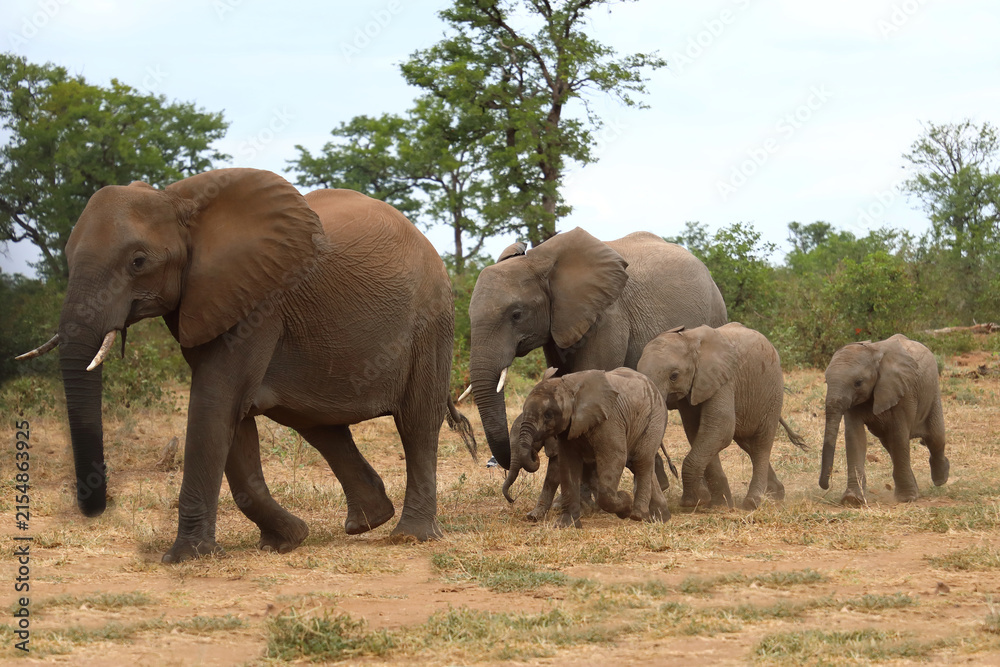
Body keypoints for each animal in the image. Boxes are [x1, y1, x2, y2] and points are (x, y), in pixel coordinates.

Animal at [17, 168, 475, 562]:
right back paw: (366, 522)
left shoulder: (258, 302)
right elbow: (231, 419)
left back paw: (409, 536)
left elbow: (215, 403)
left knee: (415, 423)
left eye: (138, 262)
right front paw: (287, 541)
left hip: (431, 320)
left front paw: (184, 559)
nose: (95, 508)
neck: (178, 202)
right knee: (316, 423)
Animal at [502, 368, 670, 528]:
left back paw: (637, 515)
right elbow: (568, 464)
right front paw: (565, 524)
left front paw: (625, 503)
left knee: (641, 460)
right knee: (639, 463)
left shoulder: (609, 421)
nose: (511, 500)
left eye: (548, 415)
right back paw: (660, 517)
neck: (569, 387)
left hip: (654, 419)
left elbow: (614, 457)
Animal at [636, 323, 806, 510]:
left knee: (761, 444)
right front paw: (718, 503)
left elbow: (720, 429)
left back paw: (752, 503)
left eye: (674, 376)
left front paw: (693, 502)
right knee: (748, 445)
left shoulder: (723, 380)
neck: (689, 339)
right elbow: (698, 432)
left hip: (772, 392)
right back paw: (776, 494)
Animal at [819, 334, 948, 505]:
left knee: (935, 438)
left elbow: (899, 436)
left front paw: (906, 499)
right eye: (826, 381)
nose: (826, 486)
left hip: (932, 392)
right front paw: (852, 500)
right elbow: (855, 438)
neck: (874, 353)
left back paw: (941, 479)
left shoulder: (903, 391)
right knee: (890, 444)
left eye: (858, 383)